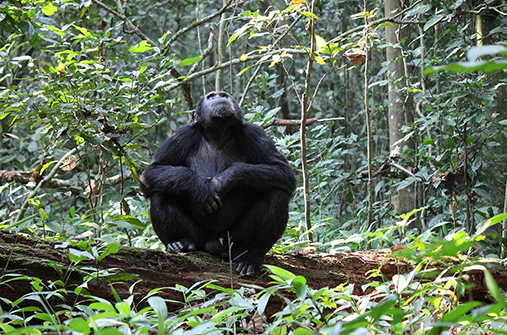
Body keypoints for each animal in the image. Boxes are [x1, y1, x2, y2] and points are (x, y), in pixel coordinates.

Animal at [140, 91, 298, 276]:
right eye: (210, 96)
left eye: (223, 95)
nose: (219, 96)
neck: (218, 135)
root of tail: (216, 245)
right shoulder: (181, 135)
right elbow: (152, 172)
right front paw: (200, 188)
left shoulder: (254, 133)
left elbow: (283, 171)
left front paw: (221, 181)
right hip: (201, 237)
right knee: (161, 193)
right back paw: (180, 242)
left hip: (234, 240)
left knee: (276, 194)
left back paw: (250, 256)